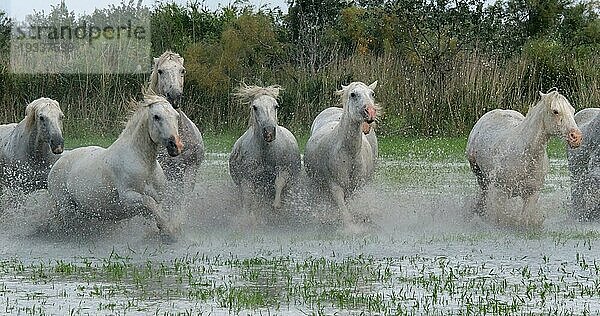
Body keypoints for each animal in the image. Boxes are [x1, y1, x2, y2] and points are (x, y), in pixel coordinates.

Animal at [47, 95, 183, 238]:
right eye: (156, 116)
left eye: (176, 116)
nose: (176, 146)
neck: (145, 166)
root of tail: (57, 164)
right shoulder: (128, 197)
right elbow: (149, 202)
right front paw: (168, 230)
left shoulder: (158, 197)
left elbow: (157, 208)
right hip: (66, 207)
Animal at [229, 84, 302, 215]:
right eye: (255, 107)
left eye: (276, 106)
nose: (269, 132)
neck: (266, 153)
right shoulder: (247, 179)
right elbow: (248, 202)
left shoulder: (283, 170)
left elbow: (279, 183)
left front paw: (276, 205)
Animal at [304, 80, 380, 231]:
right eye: (353, 94)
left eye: (372, 94)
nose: (370, 112)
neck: (349, 153)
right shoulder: (335, 186)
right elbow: (343, 209)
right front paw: (350, 228)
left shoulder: (357, 186)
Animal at [466, 90, 584, 228]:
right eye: (555, 111)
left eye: (572, 110)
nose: (576, 137)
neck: (525, 156)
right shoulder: (501, 193)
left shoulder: (532, 194)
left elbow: (525, 219)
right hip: (480, 175)